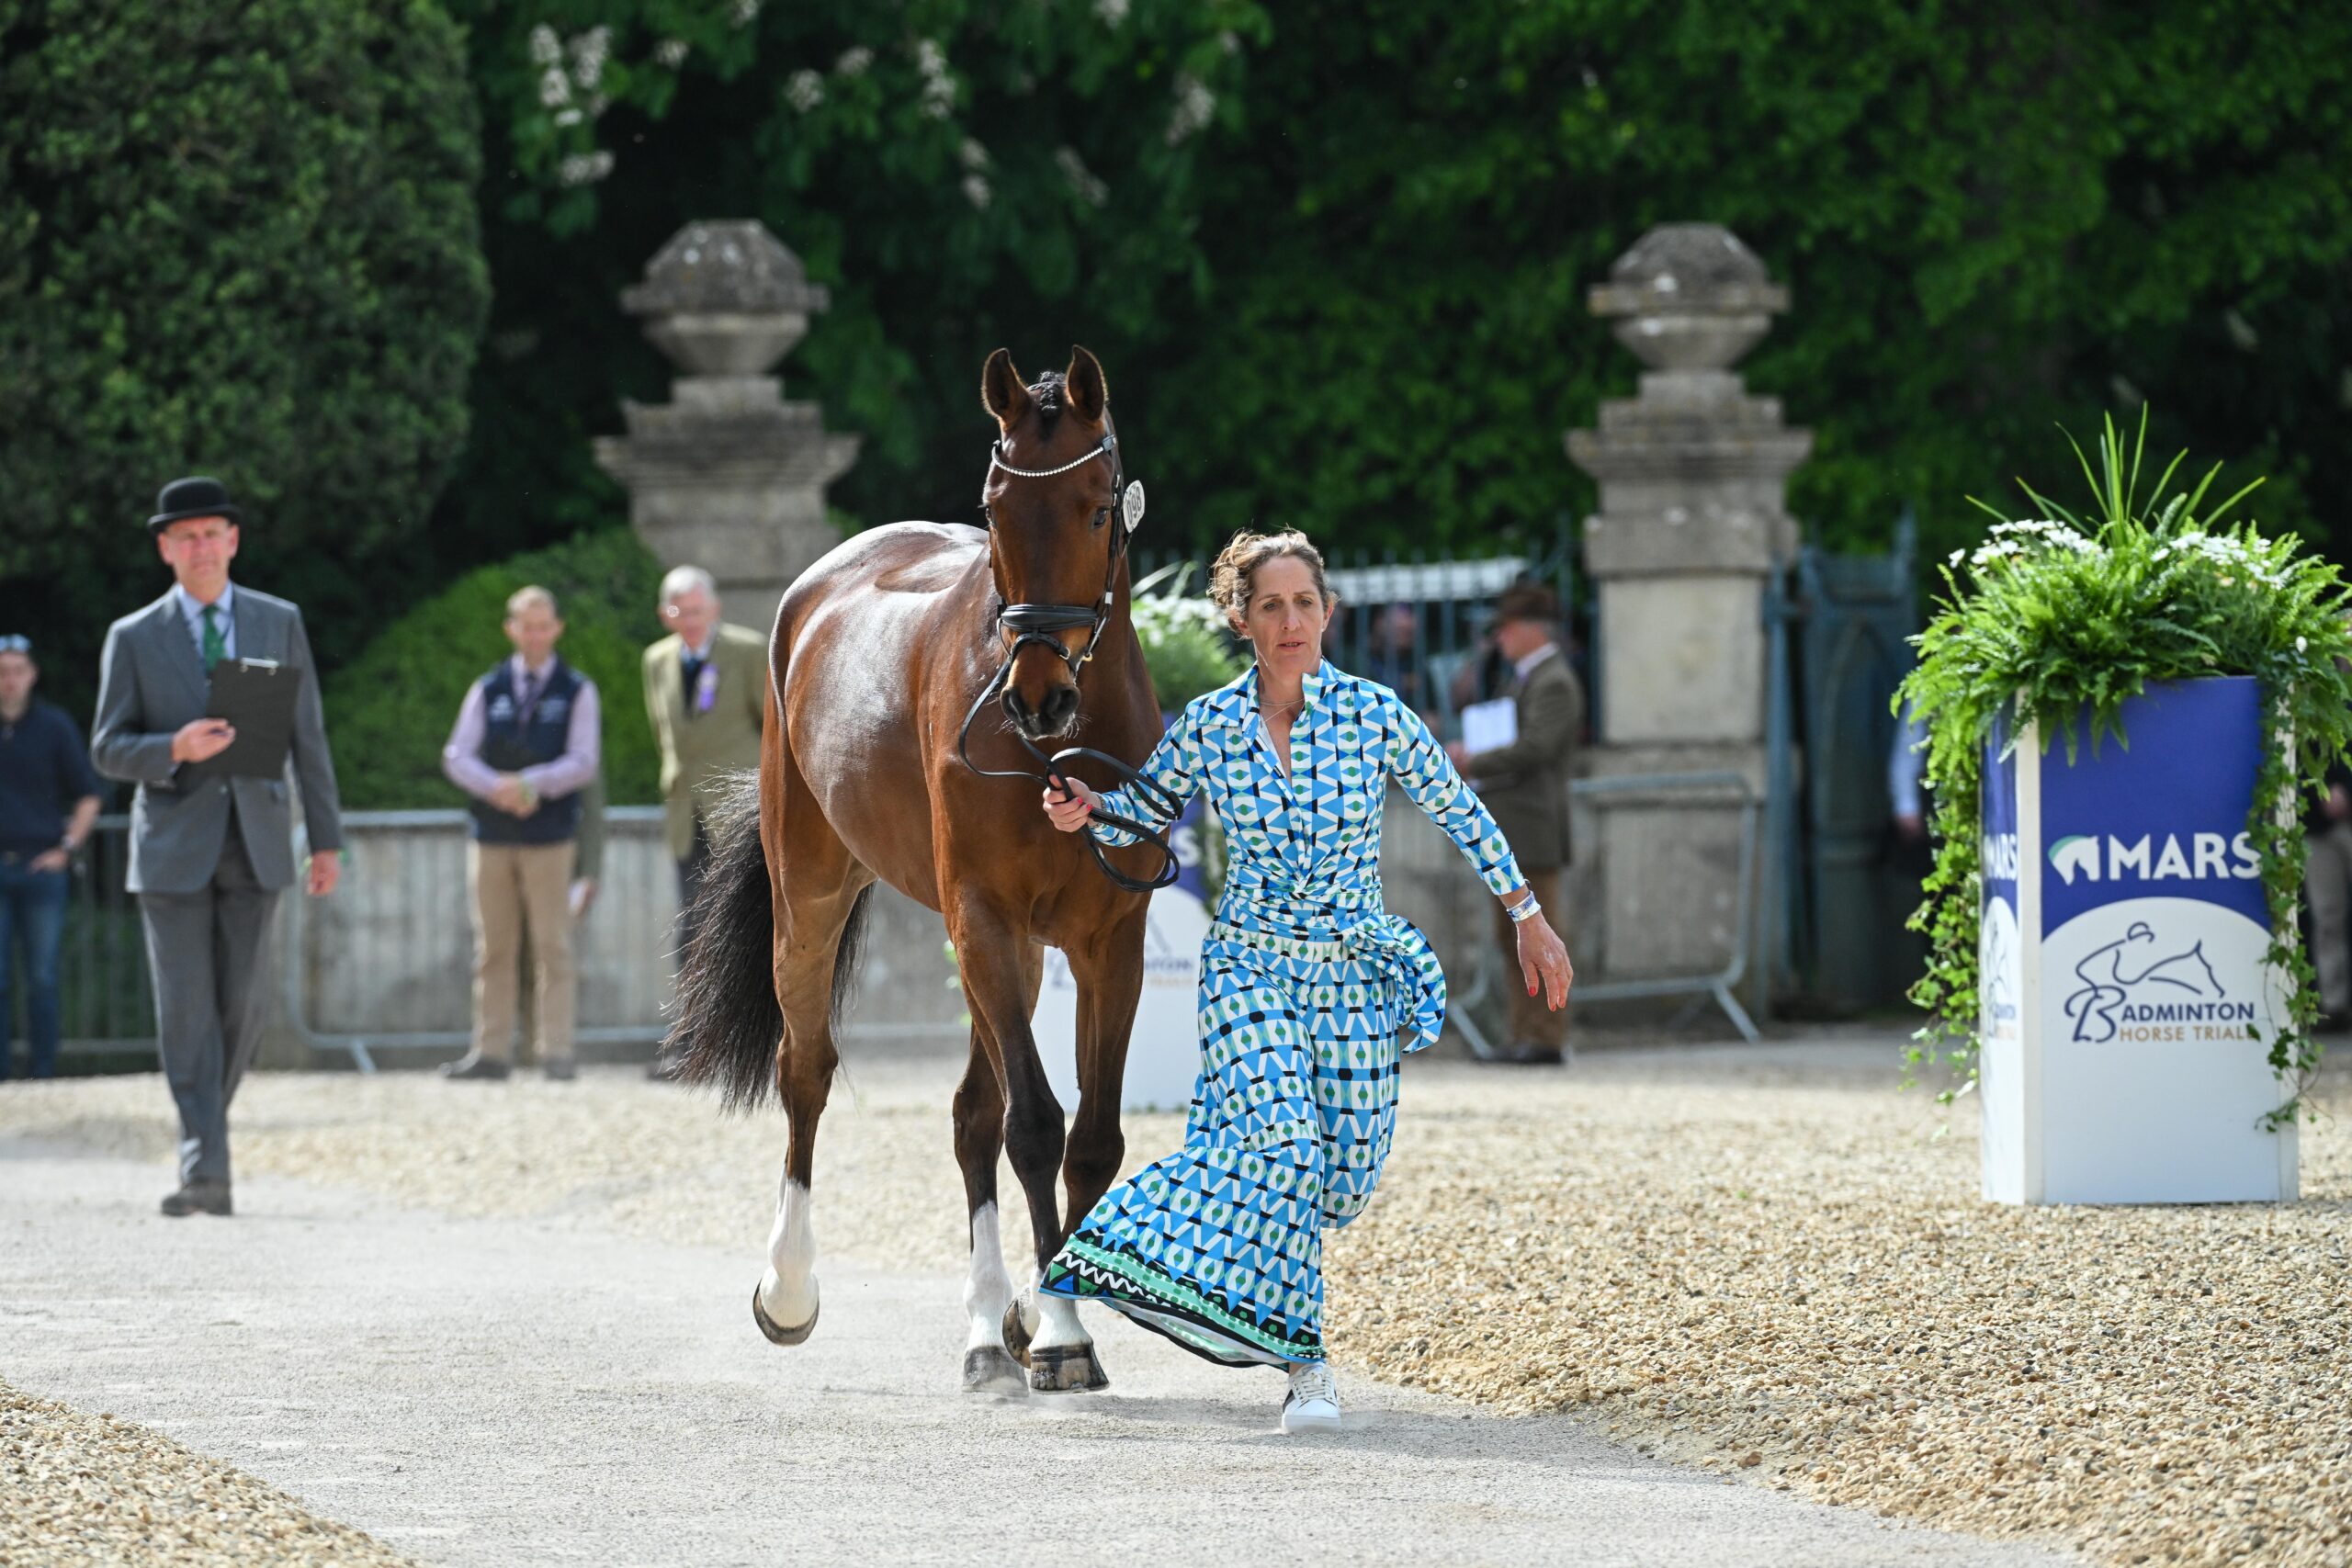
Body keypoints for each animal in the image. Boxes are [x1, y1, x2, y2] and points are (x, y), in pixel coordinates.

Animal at [669, 346, 1170, 1396]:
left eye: (1097, 507)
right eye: (994, 509)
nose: (1036, 694)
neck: (1059, 749)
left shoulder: (1108, 939)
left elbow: (1090, 1137)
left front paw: (1049, 1316)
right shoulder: (983, 917)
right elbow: (1036, 1126)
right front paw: (1063, 1335)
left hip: (1009, 952)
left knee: (972, 1111)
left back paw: (991, 1325)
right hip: (818, 900)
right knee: (808, 1071)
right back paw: (791, 1291)